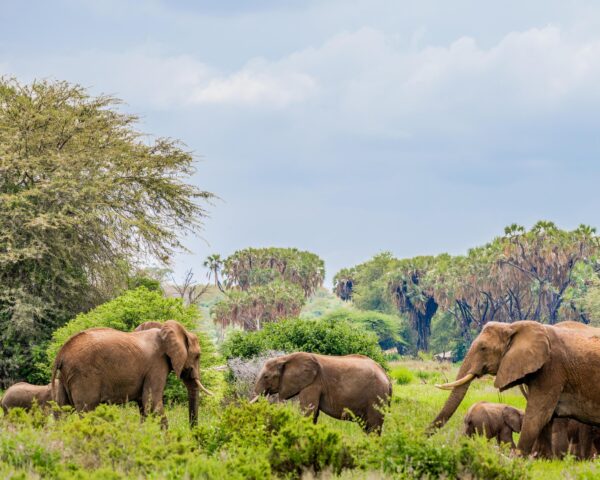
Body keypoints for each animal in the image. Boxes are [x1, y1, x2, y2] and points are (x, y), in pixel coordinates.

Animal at [51, 320, 212, 426]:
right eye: (198, 356)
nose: (192, 433)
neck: (164, 329)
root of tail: (61, 353)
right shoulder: (157, 365)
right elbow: (152, 403)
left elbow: (143, 406)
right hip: (84, 376)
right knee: (87, 412)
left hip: (65, 377)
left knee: (62, 411)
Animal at [248, 350, 390, 434]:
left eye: (266, 377)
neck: (285, 358)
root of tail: (387, 377)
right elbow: (313, 414)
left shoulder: (313, 384)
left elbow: (308, 411)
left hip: (377, 396)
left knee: (374, 427)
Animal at [428, 320, 600, 456]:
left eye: (483, 348)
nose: (424, 436)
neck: (512, 327)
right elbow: (546, 419)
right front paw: (542, 460)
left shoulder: (552, 370)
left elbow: (537, 416)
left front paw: (519, 460)